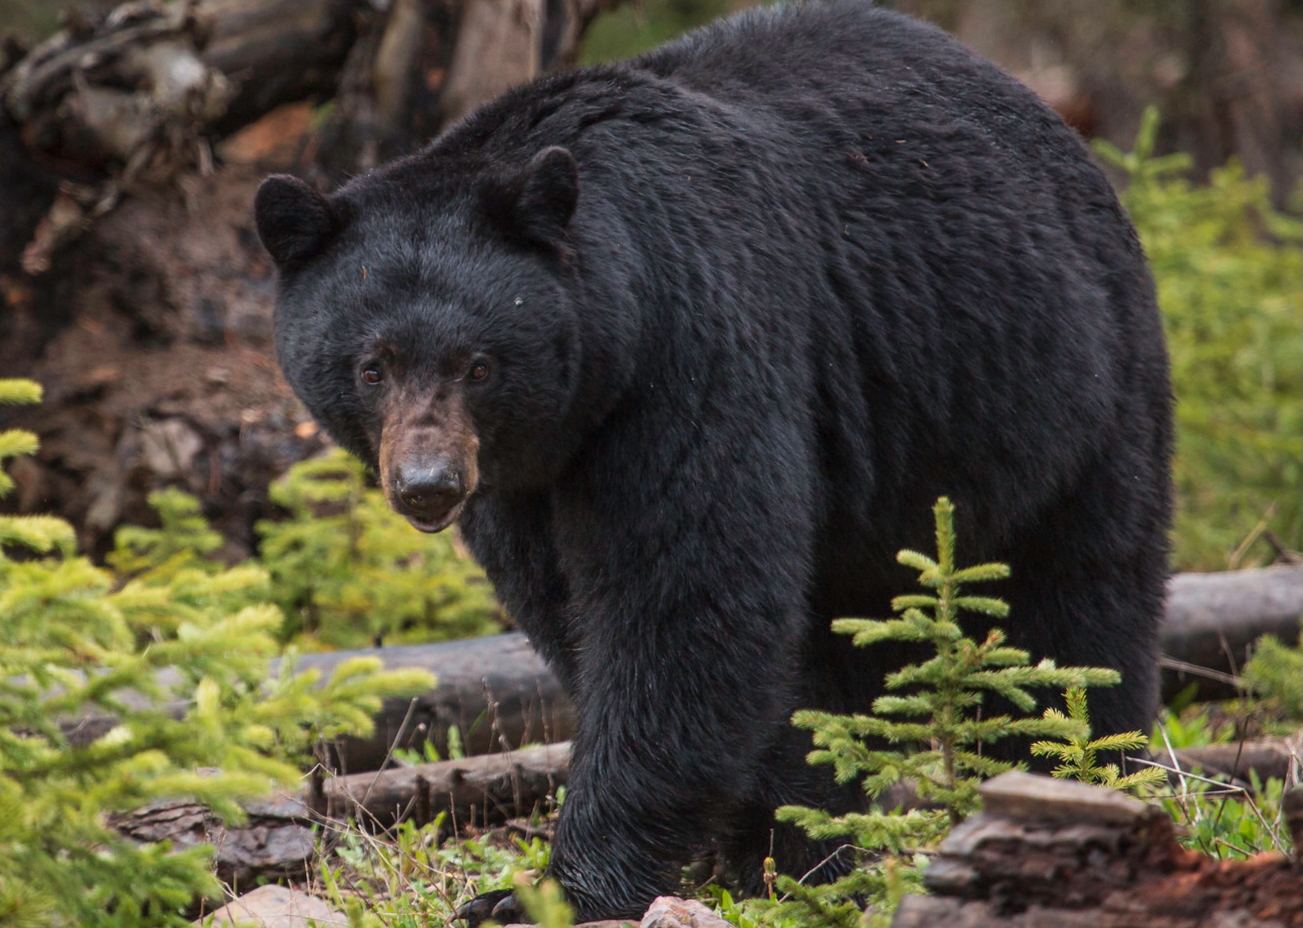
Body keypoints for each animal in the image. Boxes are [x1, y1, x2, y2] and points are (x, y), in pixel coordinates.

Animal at [254, 0, 1172, 921]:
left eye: (478, 364)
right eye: (371, 366)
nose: (427, 486)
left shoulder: (694, 343)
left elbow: (684, 601)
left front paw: (554, 889)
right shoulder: (525, 478)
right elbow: (574, 607)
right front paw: (776, 844)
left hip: (1061, 390)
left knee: (1078, 605)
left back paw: (1078, 776)